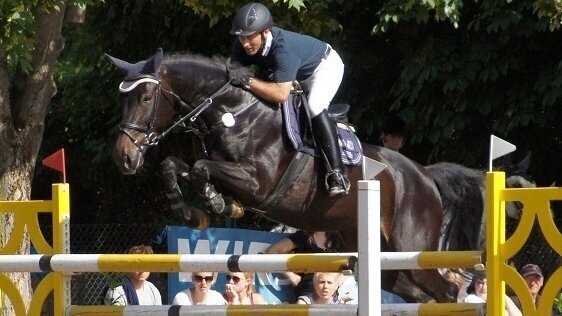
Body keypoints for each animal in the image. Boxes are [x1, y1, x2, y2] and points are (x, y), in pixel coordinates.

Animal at [106, 48, 490, 302]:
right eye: (122, 100)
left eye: (145, 98)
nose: (124, 158)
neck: (232, 114)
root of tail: (426, 176)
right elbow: (175, 165)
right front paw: (193, 211)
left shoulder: (258, 184)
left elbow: (202, 170)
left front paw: (217, 204)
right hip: (386, 262)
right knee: (422, 293)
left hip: (411, 247)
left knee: (448, 289)